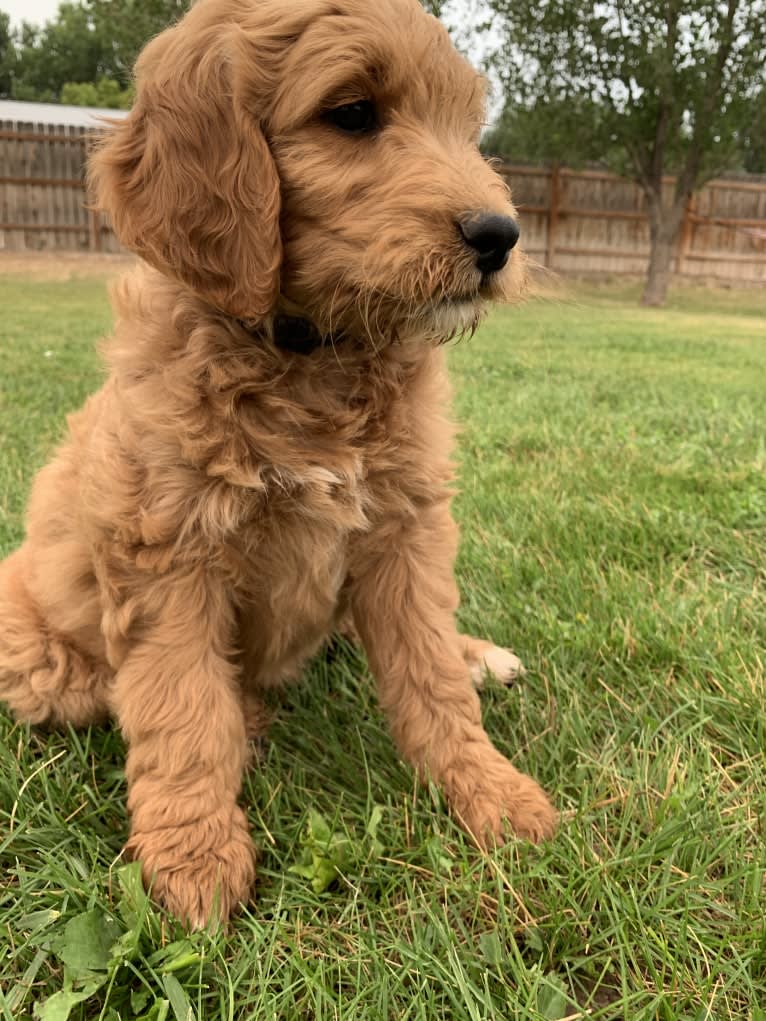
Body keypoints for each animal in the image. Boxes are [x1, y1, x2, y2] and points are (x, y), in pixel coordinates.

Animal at [0, 0, 559, 931]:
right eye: (353, 113)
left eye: (466, 129)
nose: (500, 236)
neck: (312, 355)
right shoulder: (166, 555)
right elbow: (183, 709)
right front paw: (194, 861)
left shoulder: (405, 530)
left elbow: (432, 676)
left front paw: (493, 792)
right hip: (38, 659)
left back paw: (479, 652)